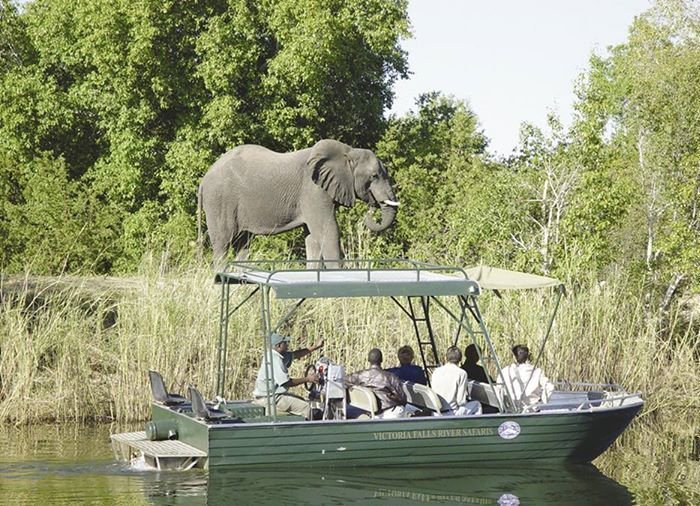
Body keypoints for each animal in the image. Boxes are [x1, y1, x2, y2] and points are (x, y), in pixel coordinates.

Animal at [197, 136, 400, 266]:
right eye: (374, 176)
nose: (372, 209)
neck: (349, 152)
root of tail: (203, 180)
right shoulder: (313, 191)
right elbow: (328, 232)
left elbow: (312, 238)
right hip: (219, 201)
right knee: (223, 244)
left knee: (243, 245)